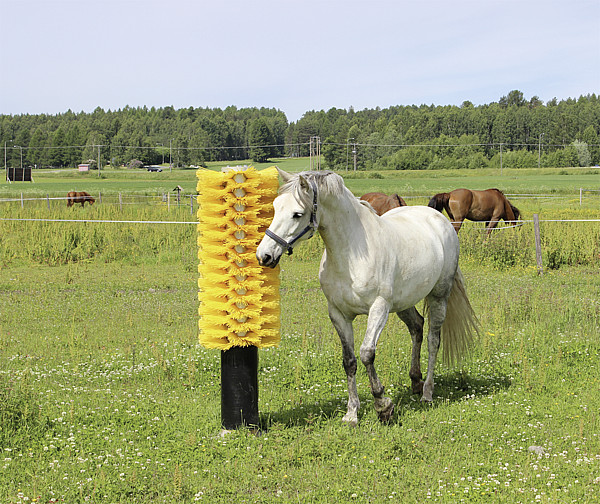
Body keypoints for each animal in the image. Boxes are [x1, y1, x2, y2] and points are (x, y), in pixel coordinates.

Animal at [255, 169, 480, 426]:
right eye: (275, 207)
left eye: (297, 214)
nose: (264, 255)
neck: (351, 255)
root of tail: (439, 220)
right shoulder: (338, 314)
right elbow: (349, 361)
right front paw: (352, 413)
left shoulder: (379, 309)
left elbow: (366, 354)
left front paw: (383, 406)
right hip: (404, 303)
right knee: (417, 328)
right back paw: (415, 381)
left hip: (438, 296)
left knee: (434, 340)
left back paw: (427, 393)